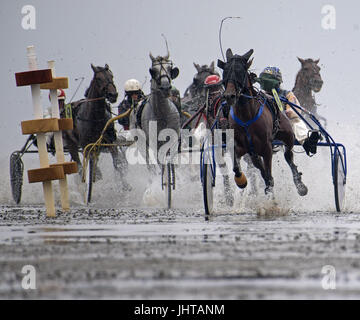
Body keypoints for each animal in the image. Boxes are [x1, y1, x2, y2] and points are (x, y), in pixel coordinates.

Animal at [218, 48, 308, 196]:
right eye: (225, 72)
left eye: (241, 71)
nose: (229, 96)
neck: (246, 117)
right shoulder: (241, 146)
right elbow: (237, 167)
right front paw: (241, 181)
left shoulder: (267, 148)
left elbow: (270, 176)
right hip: (254, 151)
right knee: (259, 165)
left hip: (287, 134)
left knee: (288, 155)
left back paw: (300, 185)